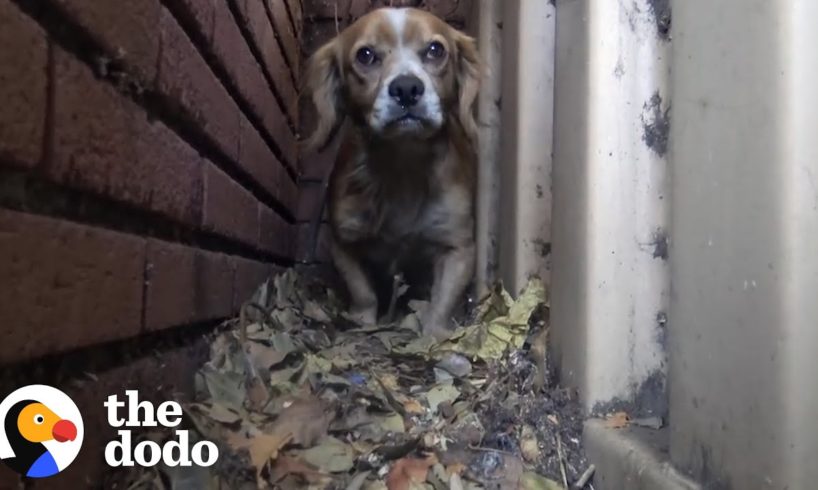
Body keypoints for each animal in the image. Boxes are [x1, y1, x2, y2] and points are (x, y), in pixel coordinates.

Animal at [302, 7, 478, 338]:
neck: (402, 166)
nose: (407, 88)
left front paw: (434, 333)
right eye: (366, 55)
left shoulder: (458, 247)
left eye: (435, 50)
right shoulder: (344, 243)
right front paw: (363, 320)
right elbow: (363, 292)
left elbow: (442, 301)